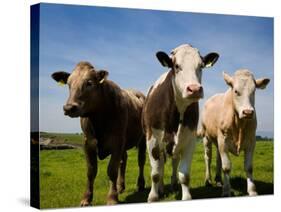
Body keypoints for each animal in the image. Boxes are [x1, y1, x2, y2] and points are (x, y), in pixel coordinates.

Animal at [51, 61, 147, 205]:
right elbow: (91, 171)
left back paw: (140, 184)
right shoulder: (88, 143)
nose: (69, 107)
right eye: (68, 84)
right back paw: (120, 187)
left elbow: (111, 170)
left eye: (89, 83)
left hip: (143, 139)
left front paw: (112, 198)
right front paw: (86, 198)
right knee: (123, 160)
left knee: (141, 161)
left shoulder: (117, 142)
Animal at [142, 44, 219, 201]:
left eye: (201, 66)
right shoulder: (152, 139)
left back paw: (172, 185)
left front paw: (186, 195)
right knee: (160, 165)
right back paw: (160, 189)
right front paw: (153, 196)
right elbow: (155, 173)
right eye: (176, 66)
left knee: (174, 161)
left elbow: (184, 174)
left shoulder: (189, 140)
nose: (194, 89)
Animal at [199, 69, 270, 197]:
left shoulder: (251, 141)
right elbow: (226, 167)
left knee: (218, 158)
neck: (239, 124)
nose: (248, 112)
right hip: (206, 137)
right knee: (208, 157)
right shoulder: (223, 141)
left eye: (254, 91)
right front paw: (226, 191)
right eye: (236, 91)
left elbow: (249, 167)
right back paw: (208, 180)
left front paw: (252, 190)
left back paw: (218, 180)